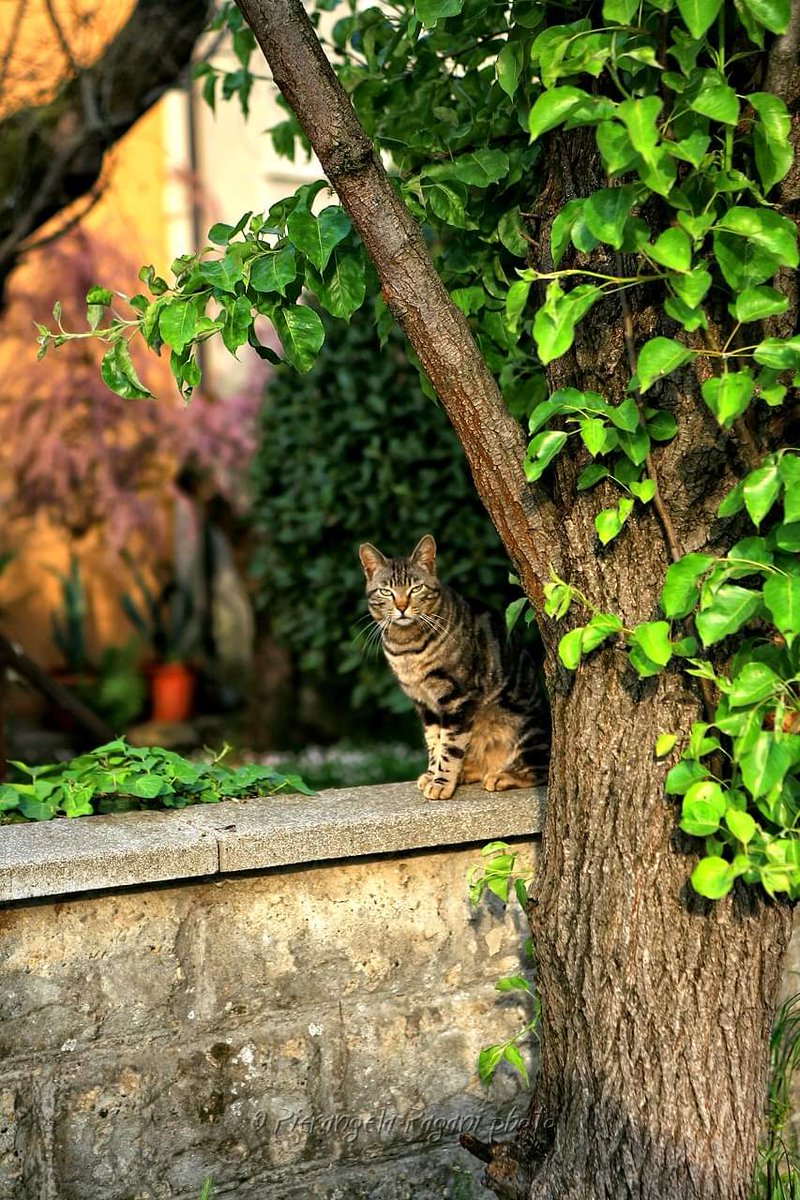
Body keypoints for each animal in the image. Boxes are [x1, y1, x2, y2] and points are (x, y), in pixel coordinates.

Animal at [359, 535, 546, 796]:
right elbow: (435, 743)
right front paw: (432, 774)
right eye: (386, 591)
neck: (407, 647)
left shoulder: (457, 697)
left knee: (541, 769)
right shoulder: (424, 704)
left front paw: (441, 783)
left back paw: (503, 776)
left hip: (522, 724)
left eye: (416, 588)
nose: (402, 606)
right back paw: (468, 773)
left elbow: (450, 747)